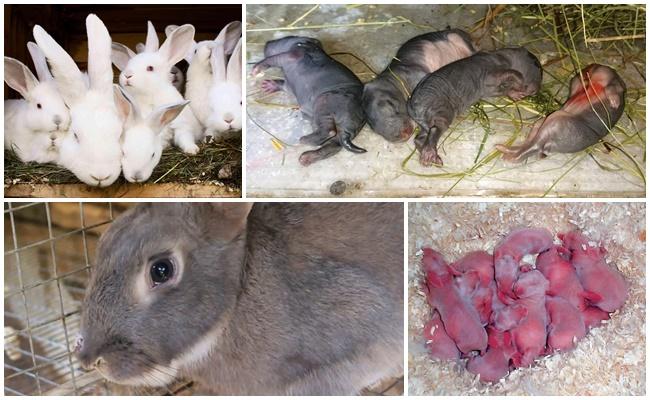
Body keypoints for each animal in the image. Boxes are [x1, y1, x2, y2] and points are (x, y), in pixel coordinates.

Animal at [111, 23, 203, 155]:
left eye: (150, 68)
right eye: (128, 64)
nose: (127, 75)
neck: (151, 96)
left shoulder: (181, 125)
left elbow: (185, 138)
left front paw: (192, 150)